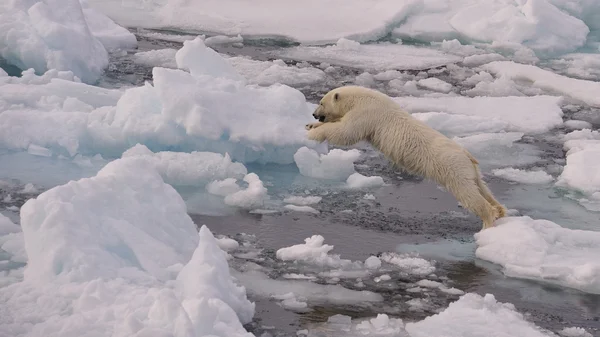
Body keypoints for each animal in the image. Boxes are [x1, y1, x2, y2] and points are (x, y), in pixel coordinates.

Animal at [304, 85, 506, 230]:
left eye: (321, 102)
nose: (314, 114)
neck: (358, 98)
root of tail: (467, 155)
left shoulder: (366, 114)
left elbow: (346, 132)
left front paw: (313, 133)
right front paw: (310, 125)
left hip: (452, 167)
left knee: (468, 193)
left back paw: (488, 221)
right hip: (470, 169)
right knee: (481, 187)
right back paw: (500, 210)